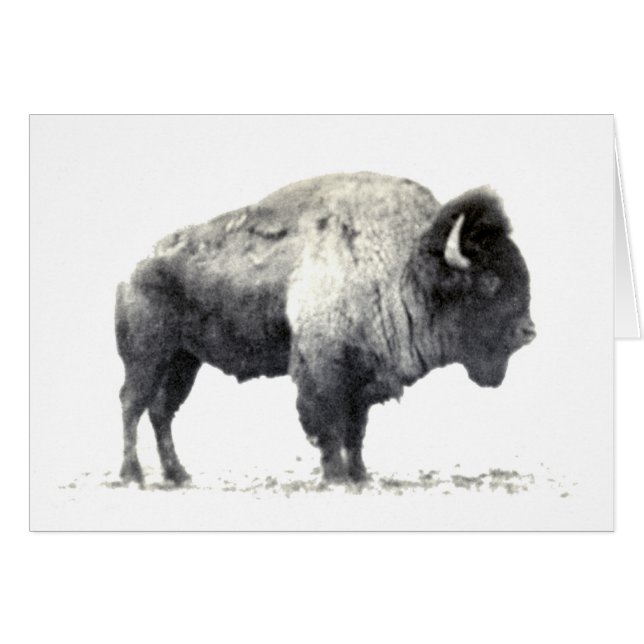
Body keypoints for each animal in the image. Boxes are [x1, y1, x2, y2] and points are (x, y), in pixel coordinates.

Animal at [115, 172, 535, 485]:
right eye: (489, 281)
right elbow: (329, 427)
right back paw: (133, 475)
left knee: (161, 411)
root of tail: (135, 269)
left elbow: (356, 431)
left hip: (184, 361)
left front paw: (360, 476)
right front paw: (336, 477)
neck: (405, 268)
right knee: (133, 405)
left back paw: (178, 474)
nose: (528, 331)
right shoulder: (323, 372)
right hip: (148, 358)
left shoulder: (362, 380)